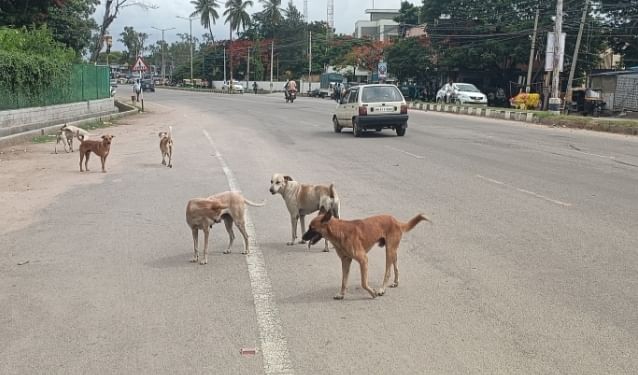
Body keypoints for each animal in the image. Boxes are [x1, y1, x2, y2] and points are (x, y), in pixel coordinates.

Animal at [302, 210, 432, 302]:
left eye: (311, 228)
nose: (302, 237)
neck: (339, 231)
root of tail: (396, 221)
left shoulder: (363, 260)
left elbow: (363, 283)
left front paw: (372, 293)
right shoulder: (345, 261)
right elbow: (344, 281)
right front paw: (341, 294)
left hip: (389, 250)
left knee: (388, 271)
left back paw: (382, 289)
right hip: (393, 250)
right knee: (396, 266)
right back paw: (396, 282)